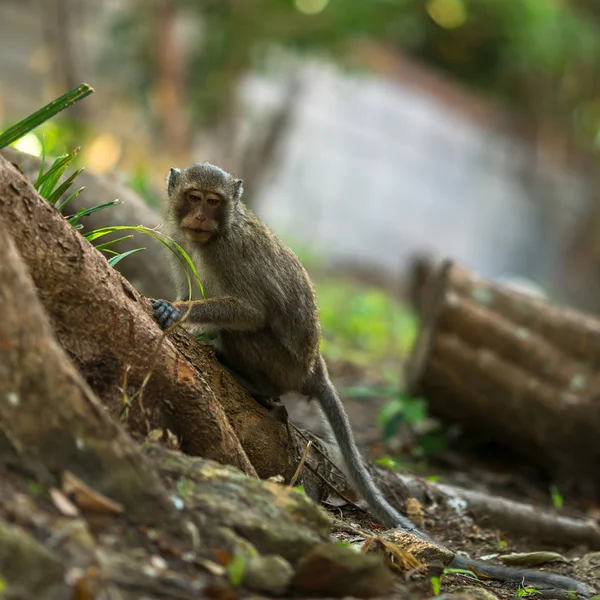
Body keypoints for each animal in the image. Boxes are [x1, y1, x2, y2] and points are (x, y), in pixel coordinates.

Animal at [151, 162, 596, 596]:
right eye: (194, 197)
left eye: (214, 201)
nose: (200, 217)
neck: (213, 236)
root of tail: (315, 366)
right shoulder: (177, 240)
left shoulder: (231, 252)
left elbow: (251, 311)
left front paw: (177, 312)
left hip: (281, 363)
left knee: (250, 334)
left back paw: (254, 382)